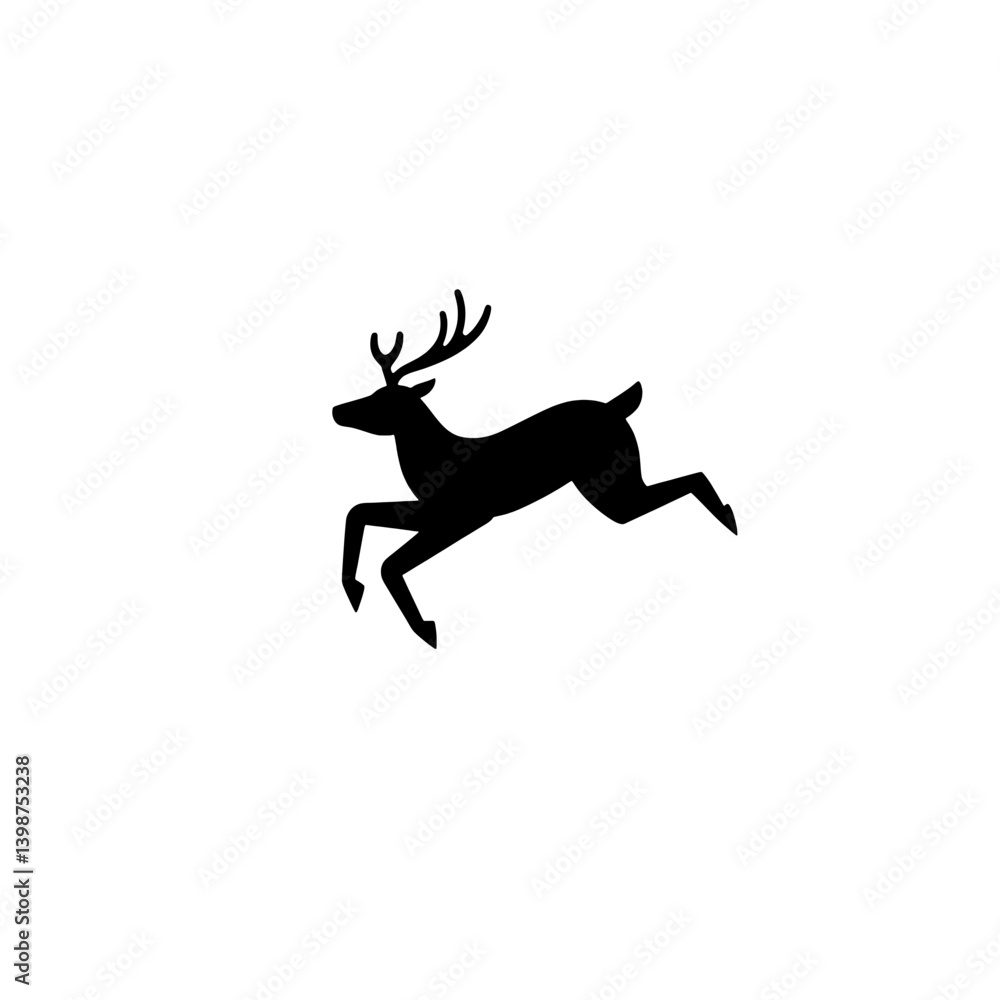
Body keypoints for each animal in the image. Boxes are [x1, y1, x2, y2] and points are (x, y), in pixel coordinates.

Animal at [332, 289, 737, 647]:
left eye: (384, 400)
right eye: (374, 393)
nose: (337, 410)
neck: (434, 459)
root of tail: (618, 405)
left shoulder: (465, 516)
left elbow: (389, 562)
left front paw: (426, 629)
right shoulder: (430, 511)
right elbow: (358, 512)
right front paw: (354, 591)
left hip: (608, 481)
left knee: (687, 479)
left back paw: (729, 518)